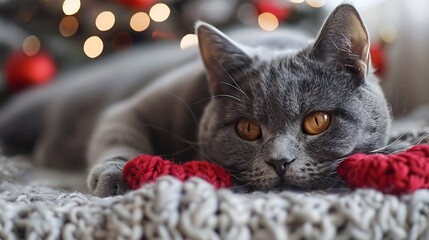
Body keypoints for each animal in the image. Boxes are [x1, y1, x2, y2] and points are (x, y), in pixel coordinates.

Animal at [0, 3, 390, 196]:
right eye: (247, 128)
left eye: (317, 121)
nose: (280, 162)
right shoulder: (130, 108)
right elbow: (119, 134)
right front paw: (113, 174)